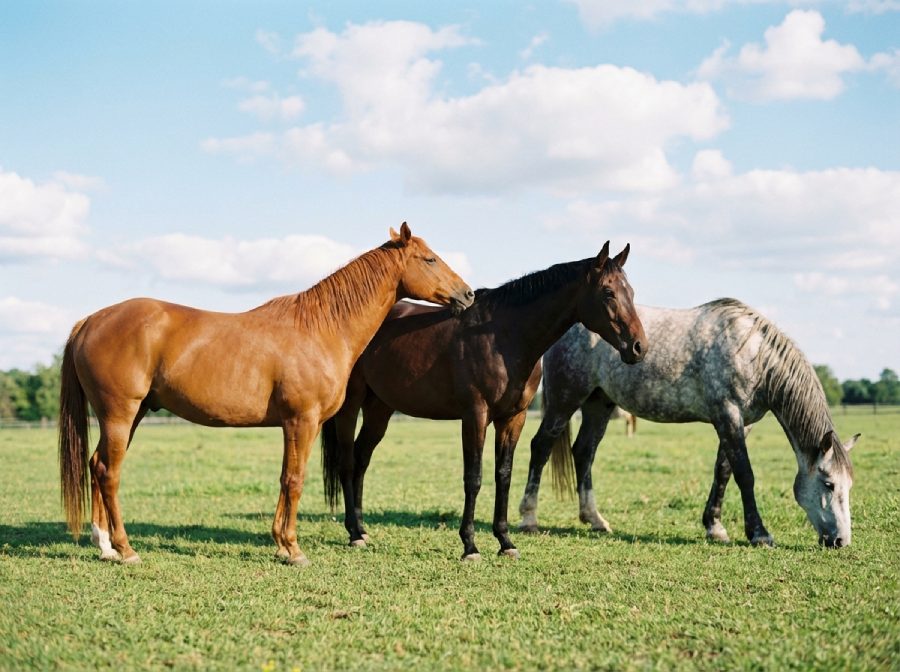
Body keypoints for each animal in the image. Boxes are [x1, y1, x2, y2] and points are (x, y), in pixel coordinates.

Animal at [58, 223, 474, 566]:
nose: (468, 294)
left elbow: (285, 477)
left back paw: (105, 546)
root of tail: (90, 321)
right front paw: (293, 549)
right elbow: (295, 479)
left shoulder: (297, 424)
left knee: (96, 466)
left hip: (131, 415)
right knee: (109, 472)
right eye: (429, 258)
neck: (320, 328)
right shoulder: (301, 420)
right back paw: (126, 549)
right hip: (120, 414)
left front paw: (281, 544)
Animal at [321, 242, 647, 561]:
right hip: (351, 405)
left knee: (362, 459)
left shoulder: (513, 418)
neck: (504, 337)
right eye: (608, 292)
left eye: (631, 292)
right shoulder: (475, 416)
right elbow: (473, 477)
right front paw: (470, 546)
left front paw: (505, 541)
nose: (638, 347)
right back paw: (353, 533)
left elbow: (503, 475)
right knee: (347, 462)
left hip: (380, 408)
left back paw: (362, 529)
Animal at [519, 298, 858, 548]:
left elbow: (723, 472)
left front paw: (715, 527)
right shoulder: (728, 416)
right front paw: (759, 533)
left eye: (849, 485)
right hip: (565, 400)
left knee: (584, 451)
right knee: (541, 447)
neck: (751, 352)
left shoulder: (740, 423)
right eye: (828, 483)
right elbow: (745, 474)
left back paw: (595, 520)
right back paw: (529, 518)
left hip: (598, 404)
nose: (841, 541)